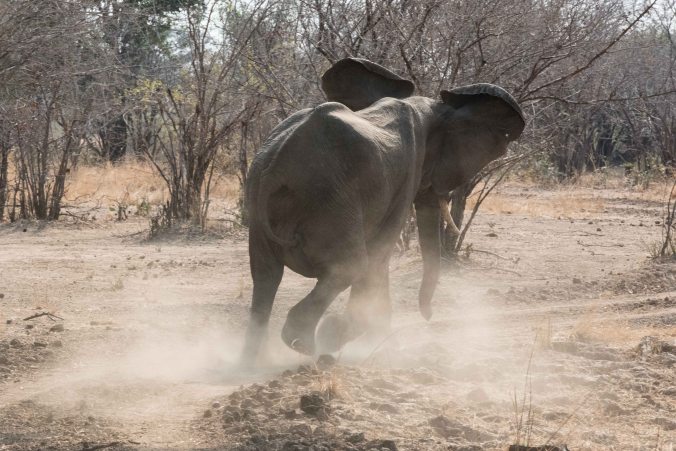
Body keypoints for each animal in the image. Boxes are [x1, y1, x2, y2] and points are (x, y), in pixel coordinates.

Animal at [241, 58, 525, 362]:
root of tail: (275, 170)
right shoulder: (407, 172)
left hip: (265, 202)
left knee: (265, 275)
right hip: (332, 200)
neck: (432, 108)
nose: (429, 316)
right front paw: (348, 335)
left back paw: (254, 361)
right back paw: (307, 346)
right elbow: (379, 254)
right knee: (351, 265)